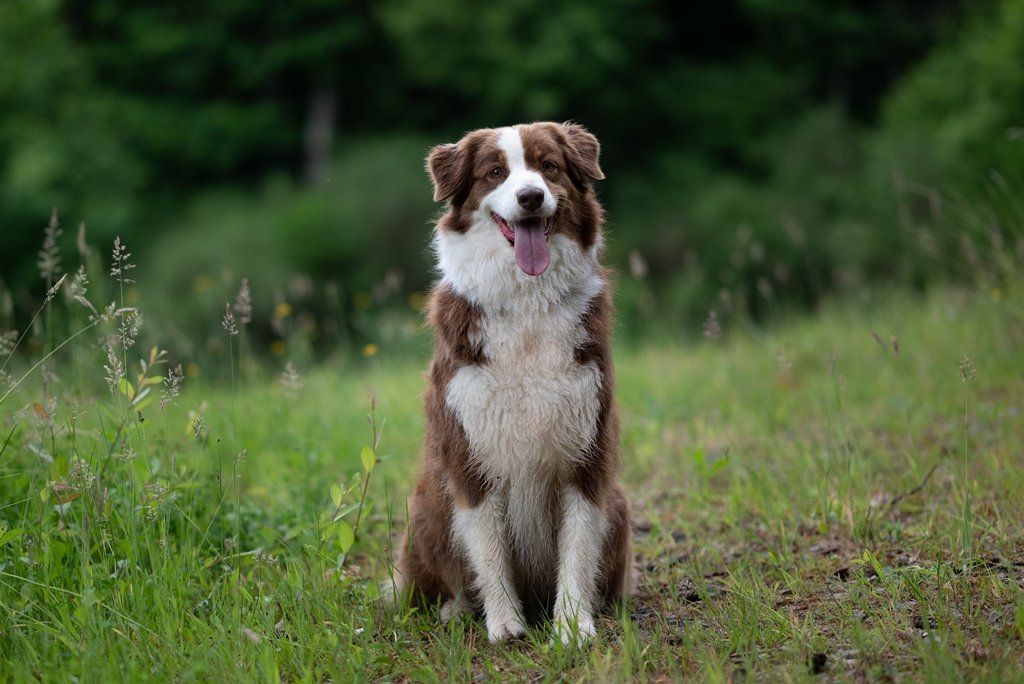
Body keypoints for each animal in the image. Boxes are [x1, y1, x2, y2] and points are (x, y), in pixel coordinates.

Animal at [391, 122, 632, 644]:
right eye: (495, 172)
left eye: (549, 166)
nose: (530, 197)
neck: (527, 303)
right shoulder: (470, 449)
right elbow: (488, 547)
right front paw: (504, 624)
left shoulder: (587, 450)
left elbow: (578, 546)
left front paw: (573, 625)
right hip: (424, 510)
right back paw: (456, 609)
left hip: (620, 503)